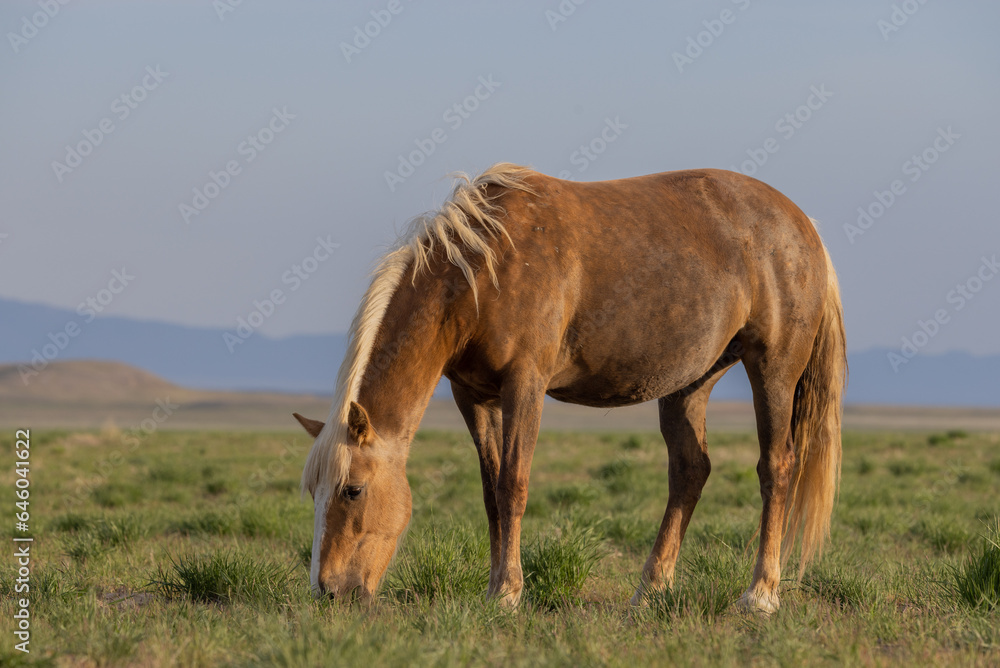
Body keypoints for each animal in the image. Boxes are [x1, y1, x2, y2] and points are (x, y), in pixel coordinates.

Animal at [296, 163, 846, 613]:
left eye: (352, 490)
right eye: (313, 492)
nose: (327, 591)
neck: (483, 271)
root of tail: (804, 226)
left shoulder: (525, 385)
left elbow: (513, 485)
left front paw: (507, 593)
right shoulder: (473, 397)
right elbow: (490, 493)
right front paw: (495, 586)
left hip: (773, 370)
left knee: (776, 468)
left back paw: (760, 595)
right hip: (691, 382)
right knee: (690, 471)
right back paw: (651, 589)